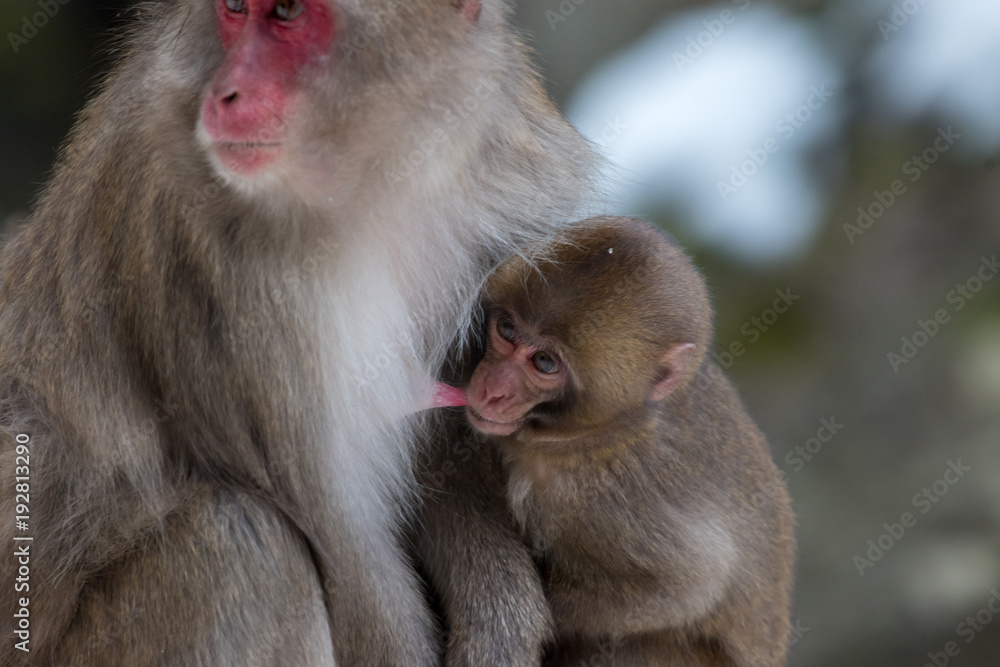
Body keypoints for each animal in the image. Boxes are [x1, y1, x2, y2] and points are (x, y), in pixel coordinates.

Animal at [0, 2, 592, 664]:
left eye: (285, 13)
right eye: (235, 9)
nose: (225, 95)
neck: (376, 179)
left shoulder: (510, 193)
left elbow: (457, 437)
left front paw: (500, 626)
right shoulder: (233, 285)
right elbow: (347, 549)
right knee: (239, 543)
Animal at [422, 217, 796, 664]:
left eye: (544, 362)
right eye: (507, 330)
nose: (492, 389)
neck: (600, 431)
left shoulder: (589, 500)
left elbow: (686, 584)